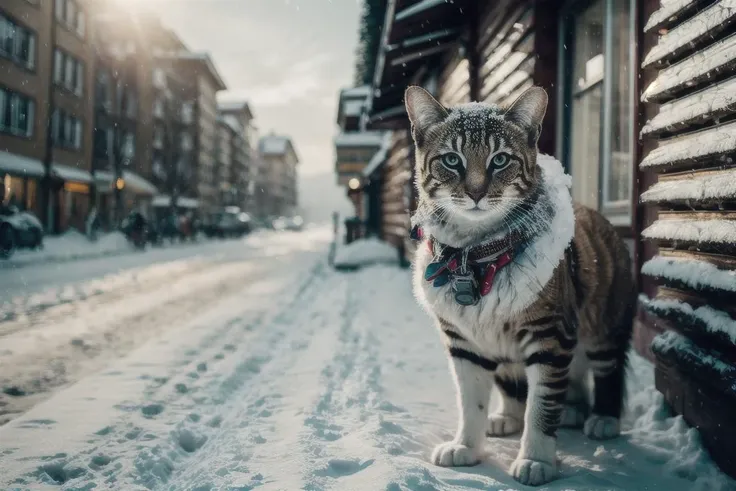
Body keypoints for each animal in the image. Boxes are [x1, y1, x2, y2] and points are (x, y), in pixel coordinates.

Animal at [406, 86, 636, 486]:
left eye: (500, 159)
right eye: (451, 159)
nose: (476, 192)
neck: (475, 256)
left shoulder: (551, 334)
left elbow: (541, 407)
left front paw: (536, 460)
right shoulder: (463, 342)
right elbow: (471, 402)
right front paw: (465, 446)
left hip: (604, 321)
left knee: (606, 369)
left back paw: (602, 418)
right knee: (521, 385)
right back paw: (522, 415)